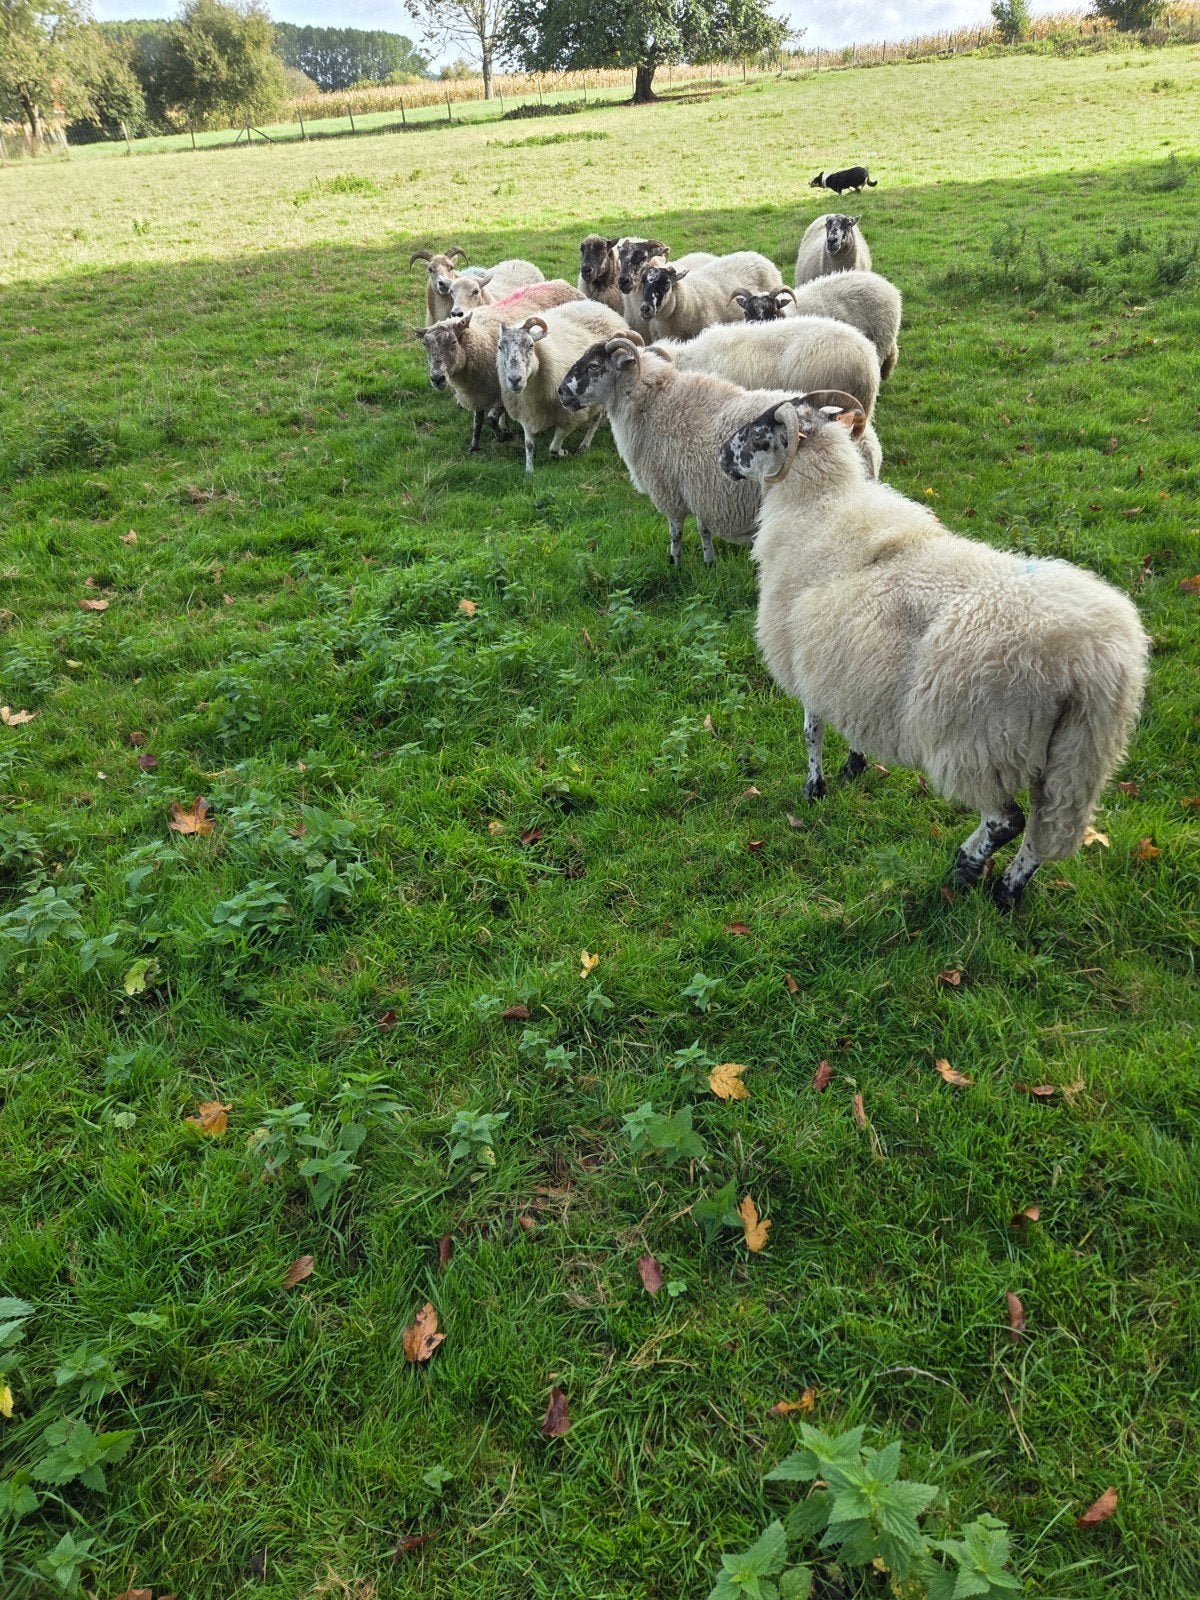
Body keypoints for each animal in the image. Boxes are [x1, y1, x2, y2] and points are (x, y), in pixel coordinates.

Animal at [412, 280, 583, 452]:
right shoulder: (477, 392)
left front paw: (503, 436)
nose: (437, 378)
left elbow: (490, 419)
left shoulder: (502, 390)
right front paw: (474, 445)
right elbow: (478, 419)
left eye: (453, 342)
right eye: (425, 344)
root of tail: (561, 282)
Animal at [496, 300, 631, 473]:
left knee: (596, 418)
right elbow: (529, 444)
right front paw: (529, 470)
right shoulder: (526, 413)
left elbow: (553, 448)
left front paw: (563, 452)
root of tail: (599, 305)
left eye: (531, 345)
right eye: (500, 347)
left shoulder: (569, 416)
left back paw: (584, 445)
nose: (515, 379)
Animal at [556, 337, 878, 567]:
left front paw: (675, 565)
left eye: (594, 366)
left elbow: (675, 532)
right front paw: (709, 562)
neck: (653, 403)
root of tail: (861, 439)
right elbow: (704, 529)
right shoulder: (700, 487)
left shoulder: (669, 491)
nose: (560, 392)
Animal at [718, 397, 1149, 907]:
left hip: (981, 742)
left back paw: (965, 868)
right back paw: (1006, 893)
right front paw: (854, 766)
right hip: (1080, 754)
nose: (721, 454)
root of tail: (1090, 662)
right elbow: (851, 723)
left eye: (759, 431)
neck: (820, 503)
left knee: (1007, 820)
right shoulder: (846, 665)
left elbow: (811, 733)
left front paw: (814, 789)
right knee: (1048, 831)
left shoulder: (806, 664)